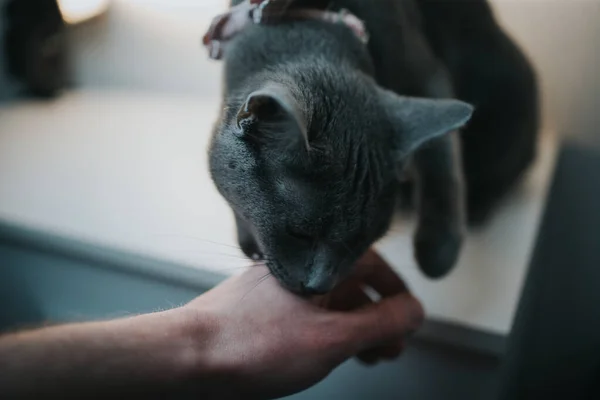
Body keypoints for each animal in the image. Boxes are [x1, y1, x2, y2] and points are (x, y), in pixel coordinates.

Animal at [209, 0, 536, 294]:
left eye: (363, 241)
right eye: (299, 233)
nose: (319, 286)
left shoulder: (427, 75)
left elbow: (443, 166)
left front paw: (437, 255)